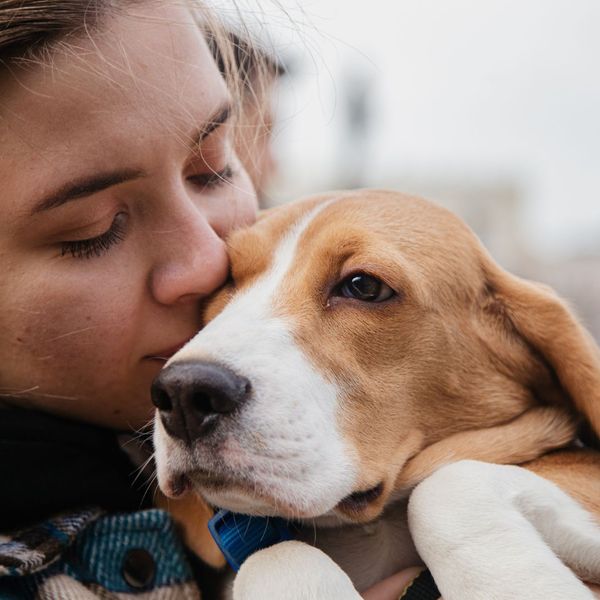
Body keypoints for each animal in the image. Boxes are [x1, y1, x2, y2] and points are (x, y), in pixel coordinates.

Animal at [151, 191, 600, 596]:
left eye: (364, 286)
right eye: (228, 279)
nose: (184, 393)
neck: (371, 528)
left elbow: (444, 487)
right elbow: (275, 556)